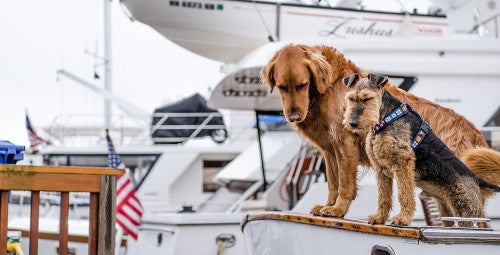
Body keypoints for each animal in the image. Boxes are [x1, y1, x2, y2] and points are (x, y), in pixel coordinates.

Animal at [342, 73, 500, 225]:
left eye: (367, 98)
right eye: (350, 99)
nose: (352, 123)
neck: (386, 117)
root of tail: (476, 179)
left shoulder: (403, 163)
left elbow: (404, 195)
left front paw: (402, 219)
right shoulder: (381, 169)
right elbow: (383, 197)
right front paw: (379, 217)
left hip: (466, 213)